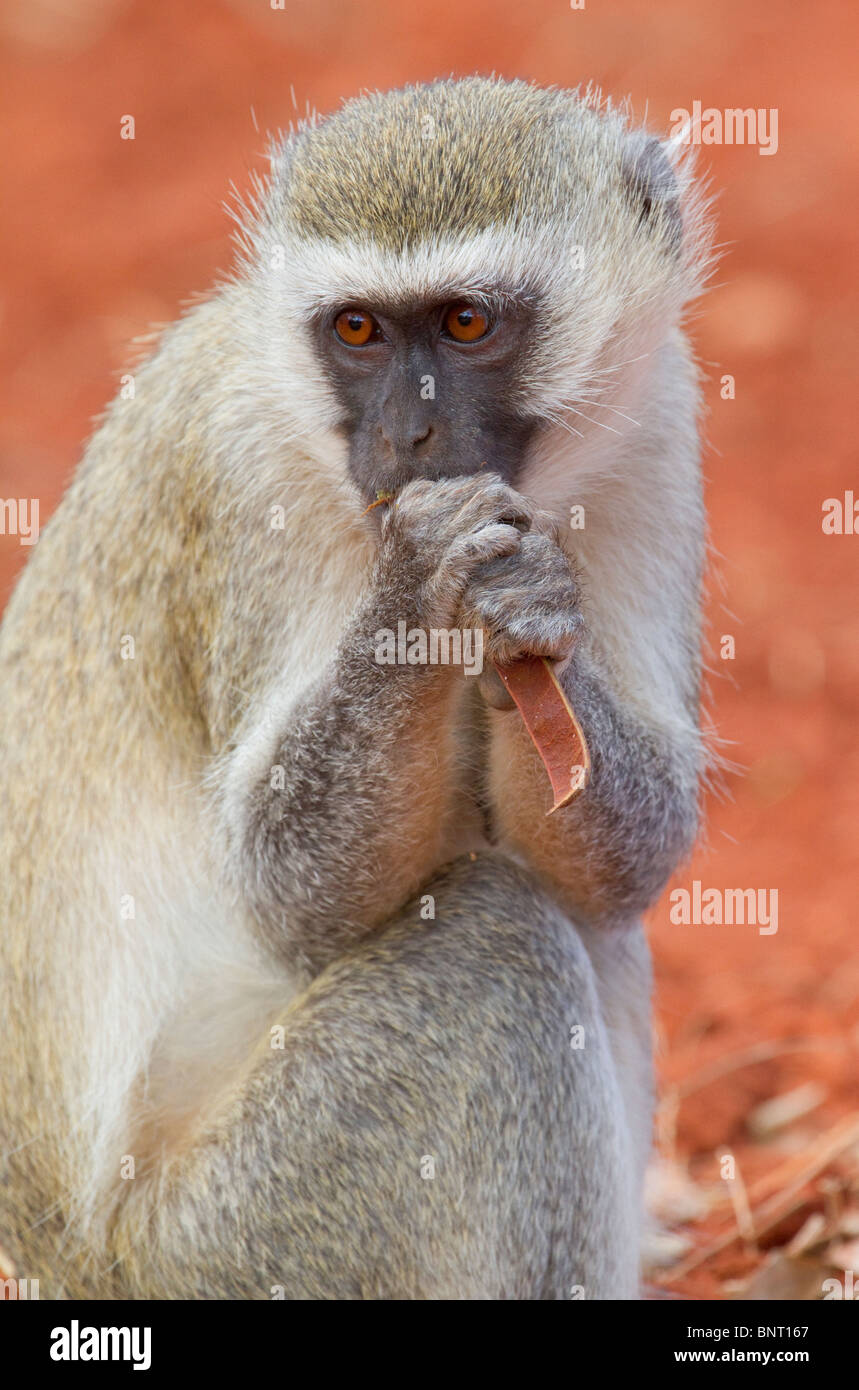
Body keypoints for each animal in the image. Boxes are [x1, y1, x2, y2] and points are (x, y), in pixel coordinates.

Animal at [0, 76, 708, 1295]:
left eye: (466, 322)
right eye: (359, 330)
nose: (407, 435)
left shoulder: (657, 422)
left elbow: (623, 856)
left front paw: (528, 618)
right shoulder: (241, 472)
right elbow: (291, 892)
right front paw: (422, 581)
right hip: (245, 1242)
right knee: (503, 943)